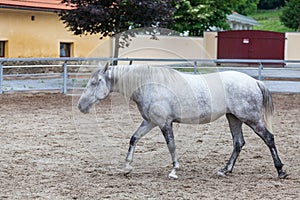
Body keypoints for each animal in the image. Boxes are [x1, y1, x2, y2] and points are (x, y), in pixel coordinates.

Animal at [77, 63, 286, 179]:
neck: (149, 84)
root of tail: (254, 82)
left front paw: (174, 170)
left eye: (95, 82)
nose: (81, 106)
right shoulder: (150, 122)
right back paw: (224, 170)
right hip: (233, 118)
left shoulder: (164, 123)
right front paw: (127, 167)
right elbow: (133, 139)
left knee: (269, 138)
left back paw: (280, 171)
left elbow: (171, 145)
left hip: (251, 119)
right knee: (238, 143)